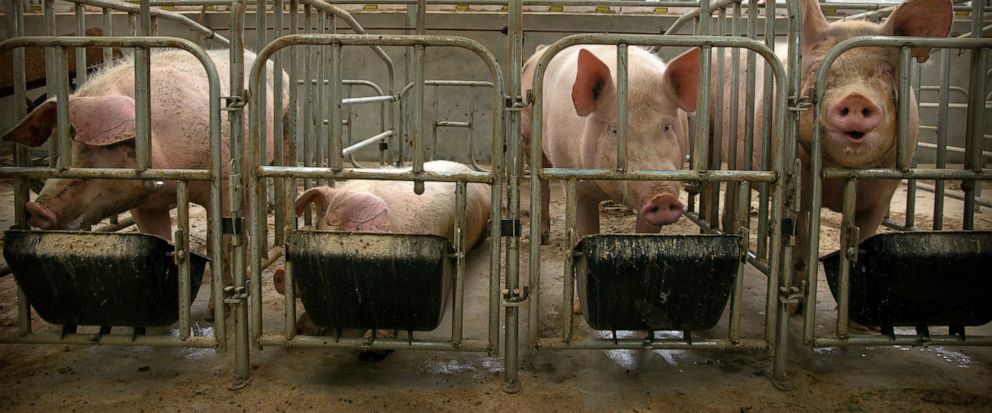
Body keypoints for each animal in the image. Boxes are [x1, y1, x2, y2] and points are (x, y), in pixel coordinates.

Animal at [520, 44, 696, 245]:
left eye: (666, 126)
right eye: (615, 130)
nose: (662, 197)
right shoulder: (575, 181)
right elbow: (586, 227)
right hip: (529, 136)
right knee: (542, 184)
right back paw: (542, 238)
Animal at [704, 0, 952, 312]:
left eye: (885, 71)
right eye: (815, 69)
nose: (856, 98)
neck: (837, 175)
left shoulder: (883, 193)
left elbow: (860, 240)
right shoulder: (798, 186)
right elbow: (799, 239)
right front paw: (795, 306)